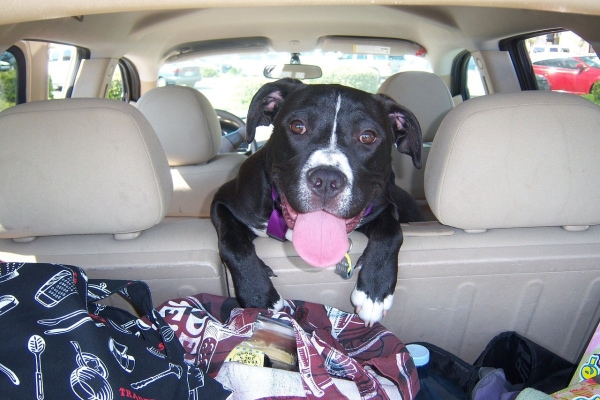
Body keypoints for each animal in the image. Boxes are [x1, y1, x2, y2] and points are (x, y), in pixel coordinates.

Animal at [211, 78, 422, 324]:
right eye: (297, 126)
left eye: (367, 136)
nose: (327, 179)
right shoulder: (223, 202)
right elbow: (232, 243)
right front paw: (258, 295)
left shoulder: (384, 208)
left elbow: (392, 232)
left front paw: (374, 292)